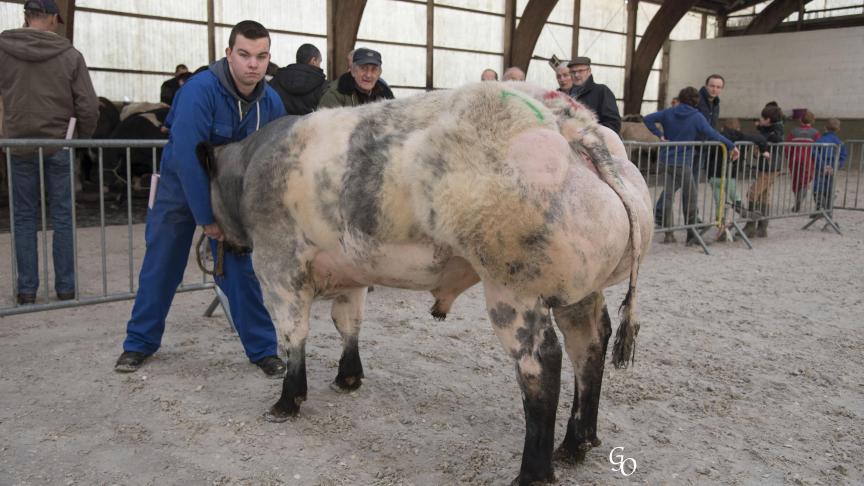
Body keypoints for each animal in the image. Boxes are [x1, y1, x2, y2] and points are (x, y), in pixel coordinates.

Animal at [199, 81, 652, 484]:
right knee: (589, 345)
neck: (253, 166)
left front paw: (287, 400)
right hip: (580, 289)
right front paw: (348, 377)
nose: (216, 240)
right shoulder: (352, 272)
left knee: (541, 363)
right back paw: (576, 444)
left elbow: (293, 334)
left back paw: (533, 473)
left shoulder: (277, 266)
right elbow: (349, 323)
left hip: (514, 289)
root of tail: (571, 122)